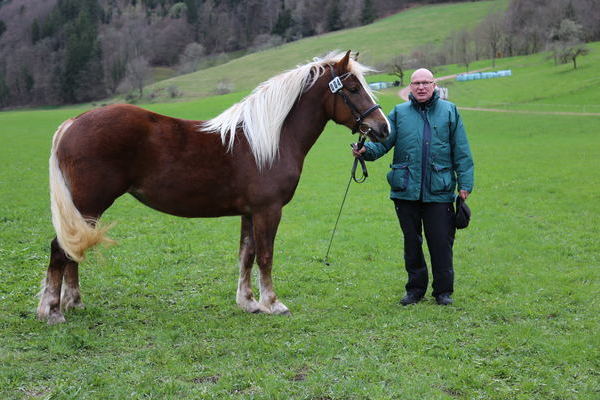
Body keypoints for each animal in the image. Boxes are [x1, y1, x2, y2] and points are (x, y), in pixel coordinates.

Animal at [39, 50, 392, 324]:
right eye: (353, 88)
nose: (383, 128)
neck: (269, 139)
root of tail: (73, 122)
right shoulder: (268, 210)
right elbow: (265, 255)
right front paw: (273, 303)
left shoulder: (250, 212)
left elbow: (246, 253)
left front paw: (249, 302)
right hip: (89, 203)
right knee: (60, 248)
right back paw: (53, 311)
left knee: (71, 248)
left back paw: (74, 302)